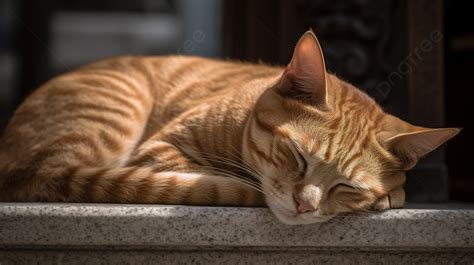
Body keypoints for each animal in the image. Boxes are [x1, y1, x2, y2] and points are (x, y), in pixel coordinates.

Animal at [0, 31, 460, 223]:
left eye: (348, 186)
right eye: (297, 156)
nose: (305, 206)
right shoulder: (160, 151)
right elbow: (213, 175)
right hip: (116, 109)